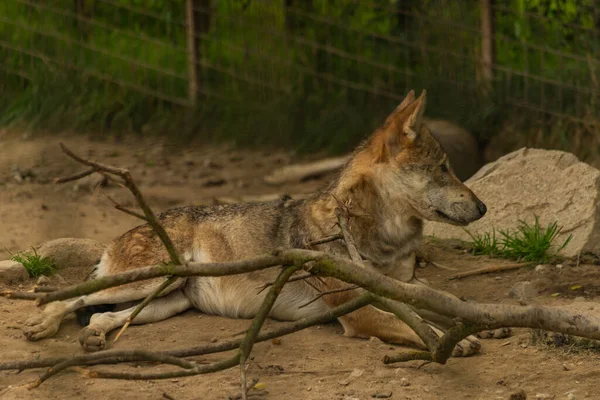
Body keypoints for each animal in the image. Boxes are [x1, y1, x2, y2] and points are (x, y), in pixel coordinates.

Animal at [23, 90, 500, 356]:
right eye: (443, 169)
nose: (483, 208)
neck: (378, 240)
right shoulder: (358, 312)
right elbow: (410, 322)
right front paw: (455, 339)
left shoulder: (406, 286)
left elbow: (442, 298)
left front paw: (477, 321)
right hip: (145, 281)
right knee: (71, 296)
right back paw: (43, 324)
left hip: (168, 301)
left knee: (102, 317)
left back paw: (92, 339)